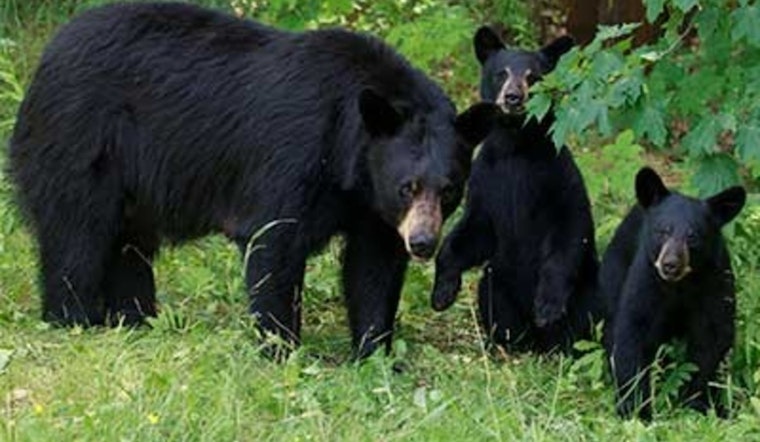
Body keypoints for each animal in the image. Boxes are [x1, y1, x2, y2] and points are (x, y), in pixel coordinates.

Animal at [7, 2, 497, 359]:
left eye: (449, 190)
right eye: (407, 186)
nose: (423, 243)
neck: (347, 155)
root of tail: (46, 56)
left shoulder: (369, 205)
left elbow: (373, 268)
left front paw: (375, 353)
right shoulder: (292, 157)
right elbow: (273, 243)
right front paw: (281, 347)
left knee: (128, 247)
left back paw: (137, 318)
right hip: (79, 143)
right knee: (77, 236)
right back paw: (74, 318)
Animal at [430, 26, 601, 353]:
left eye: (533, 76)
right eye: (502, 73)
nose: (512, 97)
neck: (515, 147)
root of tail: (539, 344)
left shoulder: (557, 177)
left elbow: (570, 228)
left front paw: (548, 306)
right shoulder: (486, 179)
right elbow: (474, 230)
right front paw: (442, 291)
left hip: (587, 288)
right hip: (499, 281)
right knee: (492, 294)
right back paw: (506, 344)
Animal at [600, 167, 746, 420]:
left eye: (692, 235)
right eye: (663, 231)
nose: (670, 265)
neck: (681, 285)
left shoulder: (715, 281)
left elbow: (712, 339)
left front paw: (700, 404)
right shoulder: (646, 280)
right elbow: (632, 332)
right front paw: (635, 409)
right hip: (613, 273)